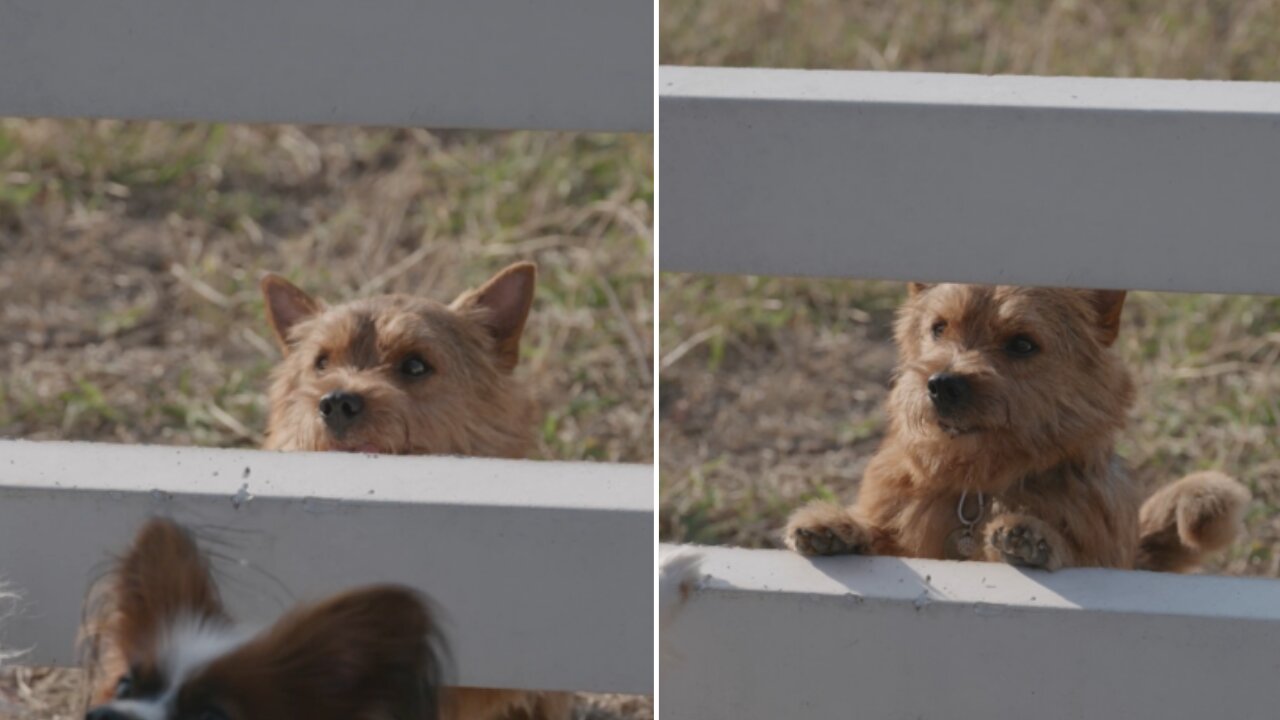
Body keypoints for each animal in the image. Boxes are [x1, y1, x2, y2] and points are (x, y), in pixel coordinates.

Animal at [783, 283, 1244, 568]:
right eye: (939, 328)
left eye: (1022, 344)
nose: (941, 384)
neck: (976, 486)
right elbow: (884, 541)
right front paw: (839, 527)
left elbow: (1069, 553)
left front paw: (1034, 538)